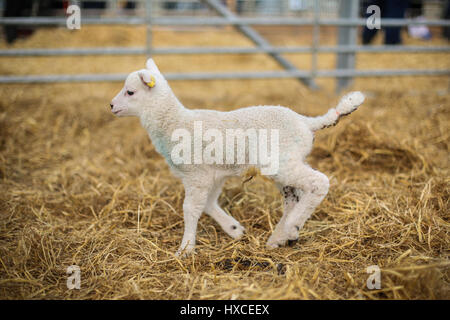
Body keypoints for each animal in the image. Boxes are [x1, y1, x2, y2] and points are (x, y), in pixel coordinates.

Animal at [110, 58, 366, 256]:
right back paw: (280, 237)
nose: (111, 105)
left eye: (130, 91)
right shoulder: (211, 175)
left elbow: (191, 209)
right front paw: (234, 230)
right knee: (294, 198)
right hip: (290, 160)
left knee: (319, 183)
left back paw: (292, 227)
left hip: (282, 162)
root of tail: (306, 121)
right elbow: (209, 204)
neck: (174, 122)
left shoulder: (196, 174)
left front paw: (185, 249)